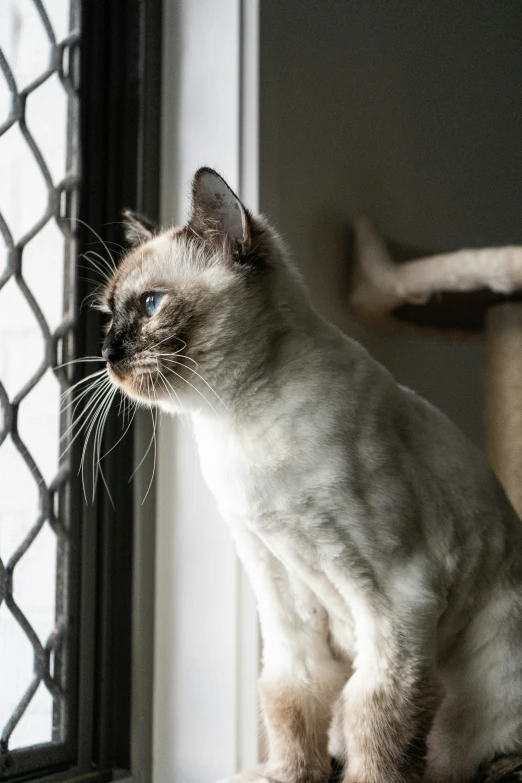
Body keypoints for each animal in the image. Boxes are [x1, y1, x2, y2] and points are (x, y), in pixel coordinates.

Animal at [98, 167, 522, 783]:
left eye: (151, 304)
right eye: (108, 315)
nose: (107, 351)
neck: (234, 423)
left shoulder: (396, 594)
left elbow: (378, 716)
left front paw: (368, 778)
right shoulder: (278, 582)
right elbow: (291, 696)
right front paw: (289, 775)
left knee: (487, 757)